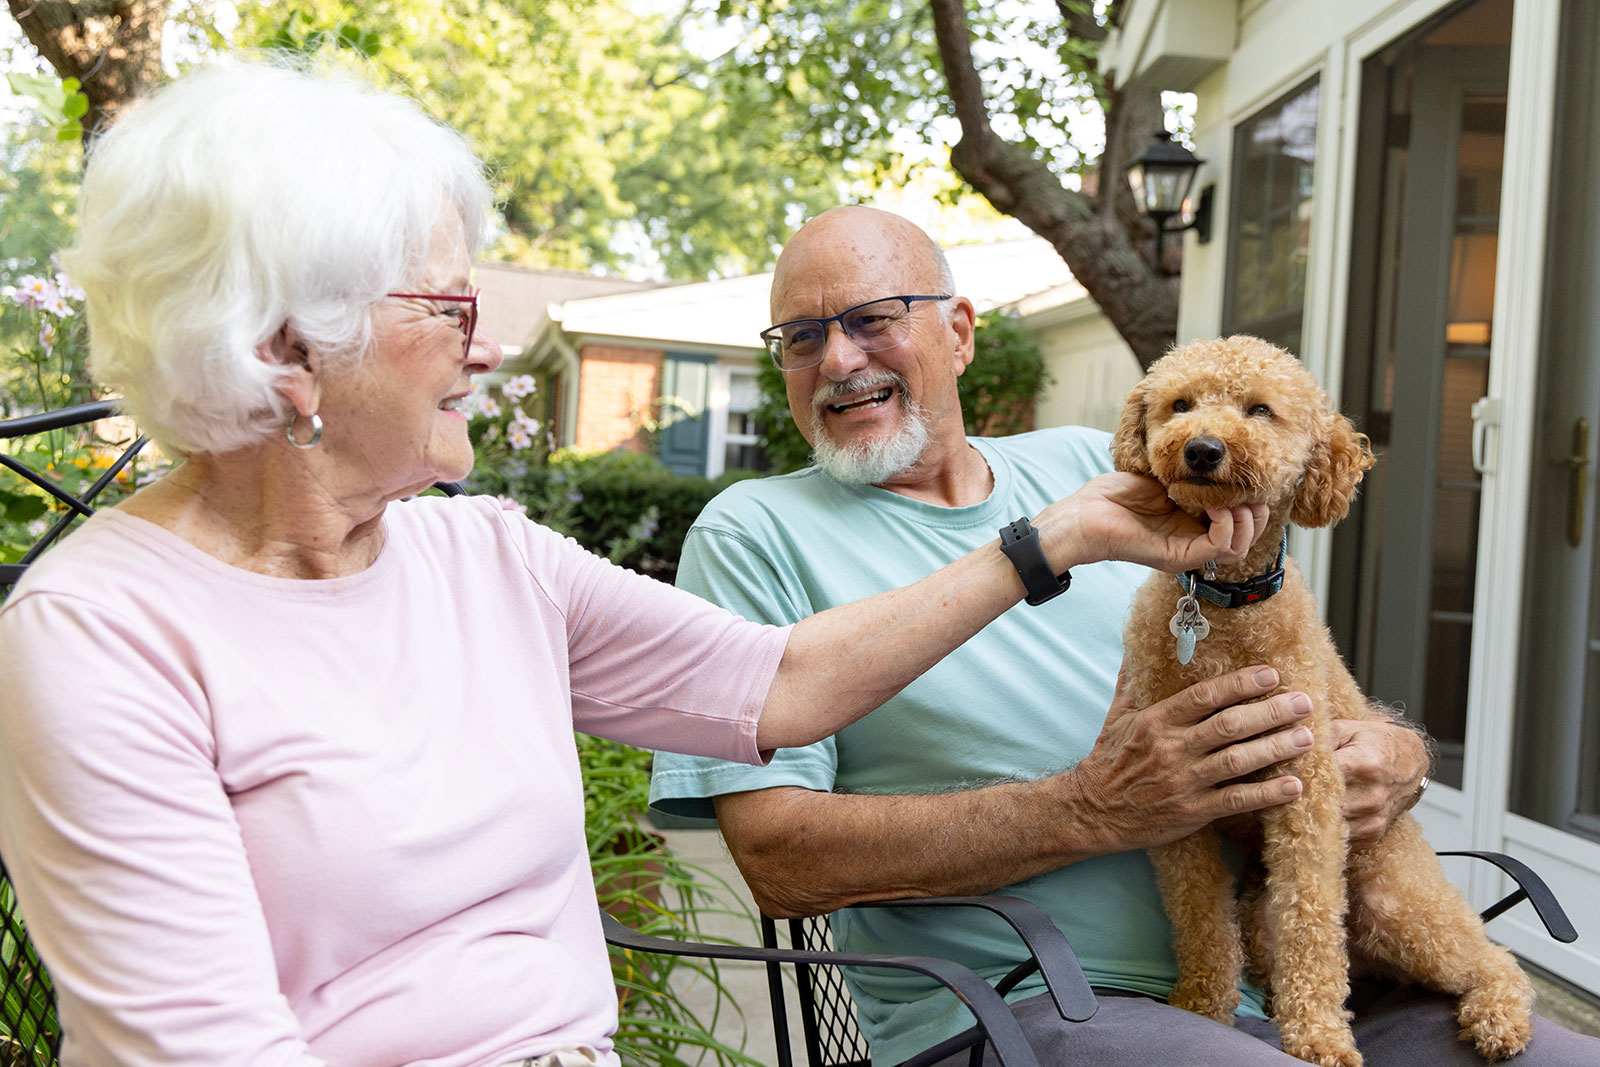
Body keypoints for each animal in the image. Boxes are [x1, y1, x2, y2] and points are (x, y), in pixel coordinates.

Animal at [1113, 335, 1536, 1067]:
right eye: (1180, 404)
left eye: (1260, 410)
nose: (1201, 449)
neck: (1224, 606)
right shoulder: (1177, 802)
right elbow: (1200, 919)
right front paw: (1202, 1005)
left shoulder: (1305, 792)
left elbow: (1311, 922)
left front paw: (1318, 1037)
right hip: (1269, 913)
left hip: (1400, 901)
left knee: (1489, 954)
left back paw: (1500, 1015)